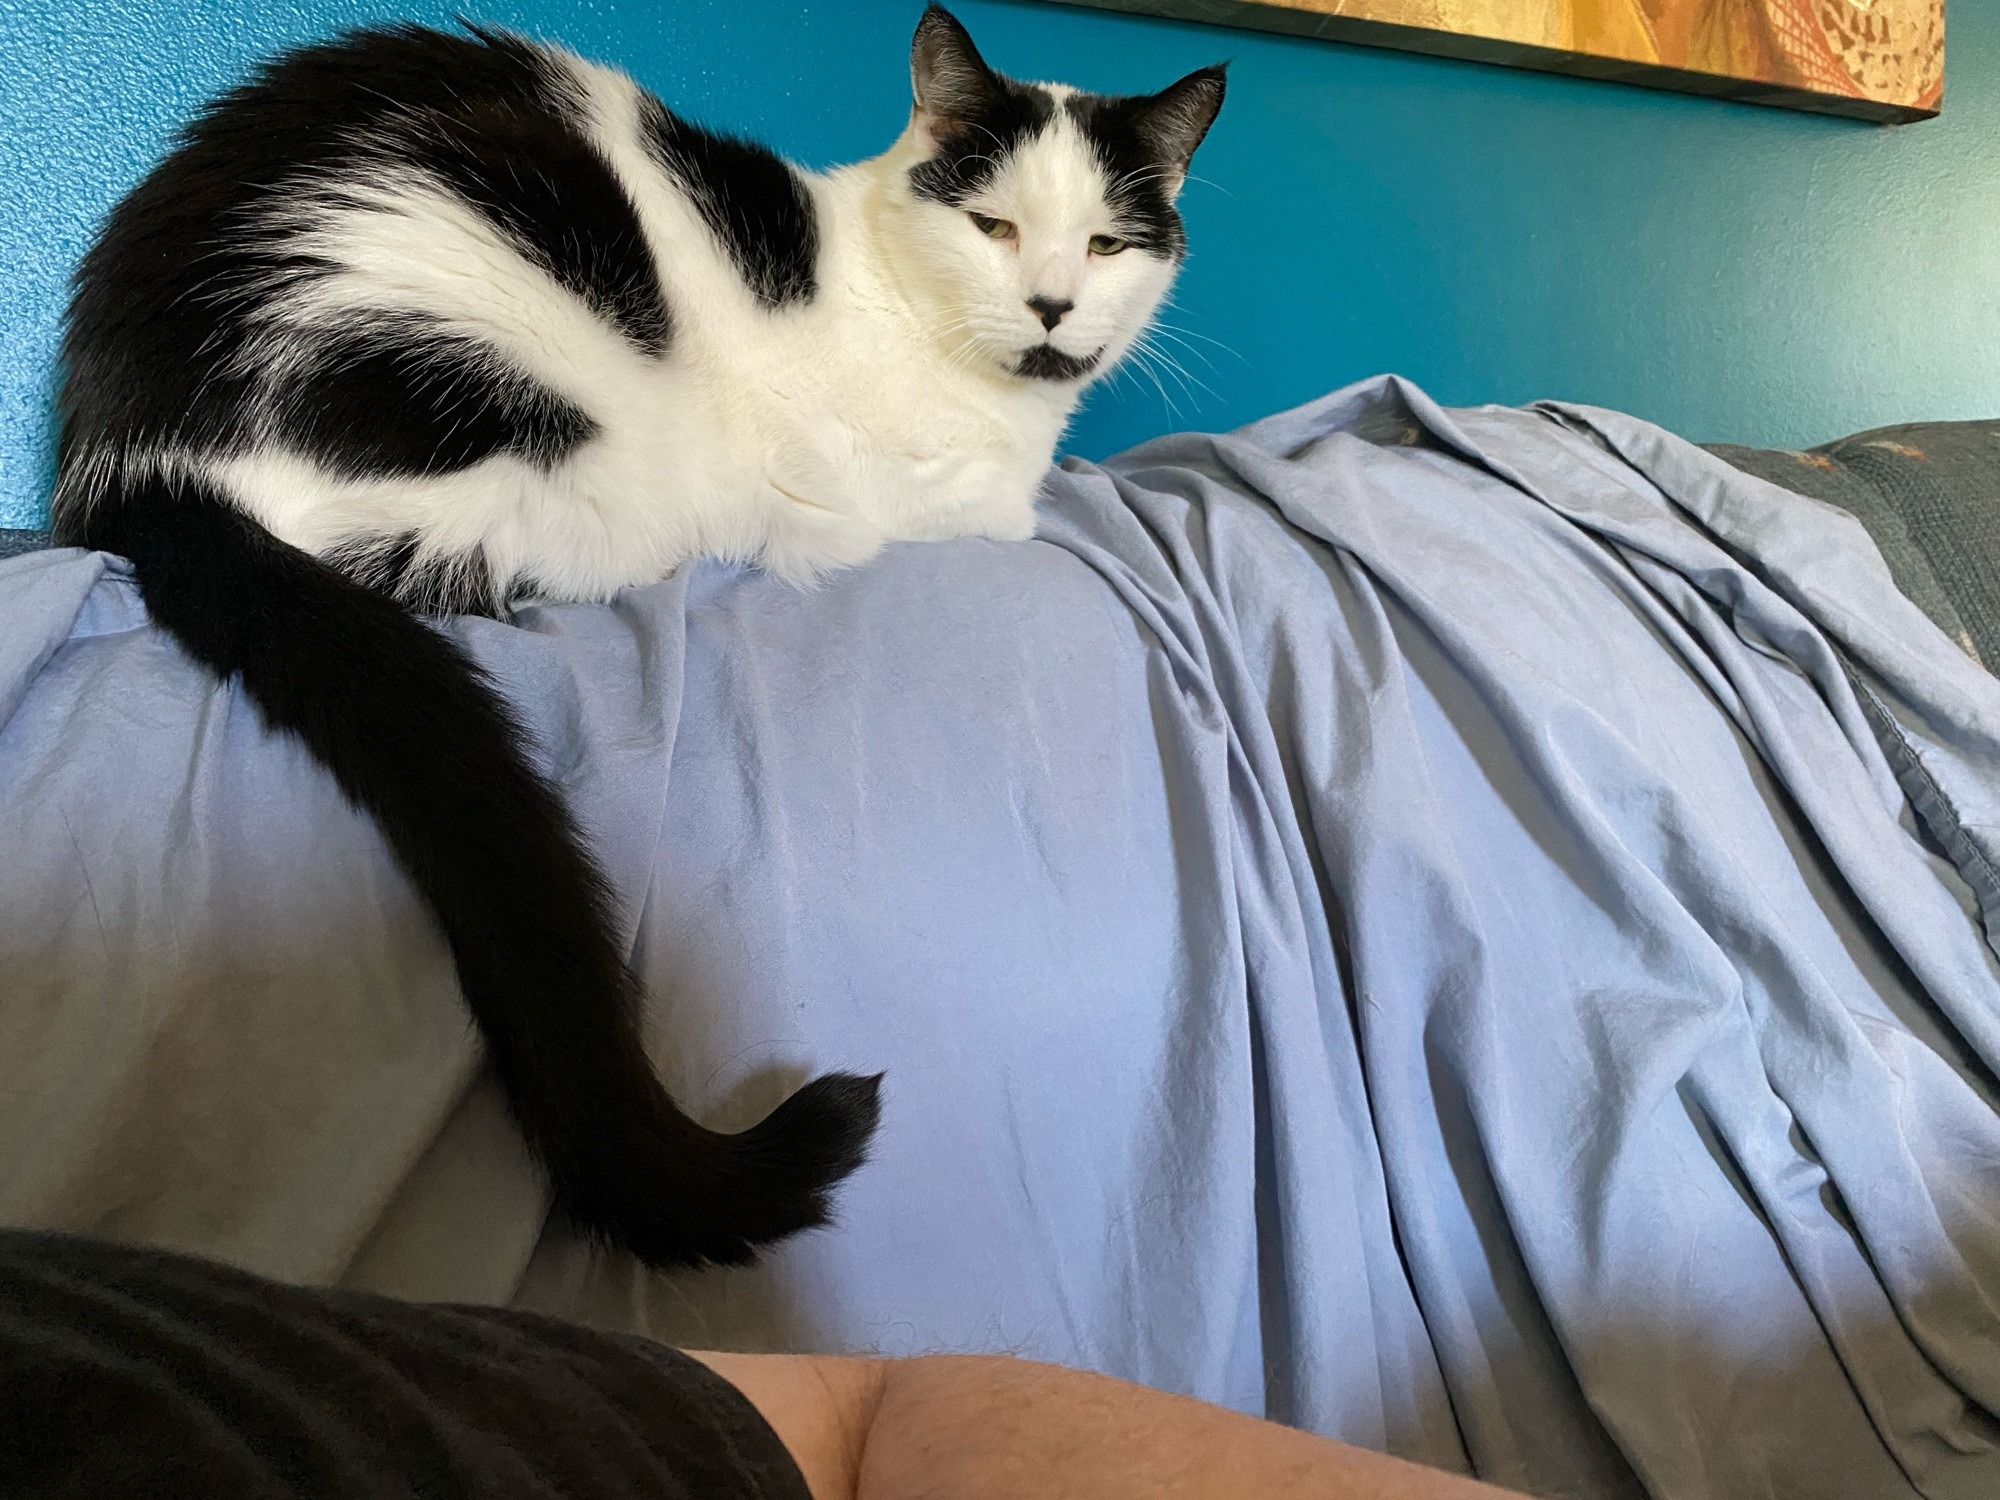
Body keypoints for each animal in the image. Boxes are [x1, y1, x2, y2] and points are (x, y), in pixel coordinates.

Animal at [54, 8, 1224, 1272]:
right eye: (992, 226)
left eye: (1106, 245)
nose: (1053, 305)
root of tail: (139, 458)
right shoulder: (893, 487)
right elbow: (1000, 509)